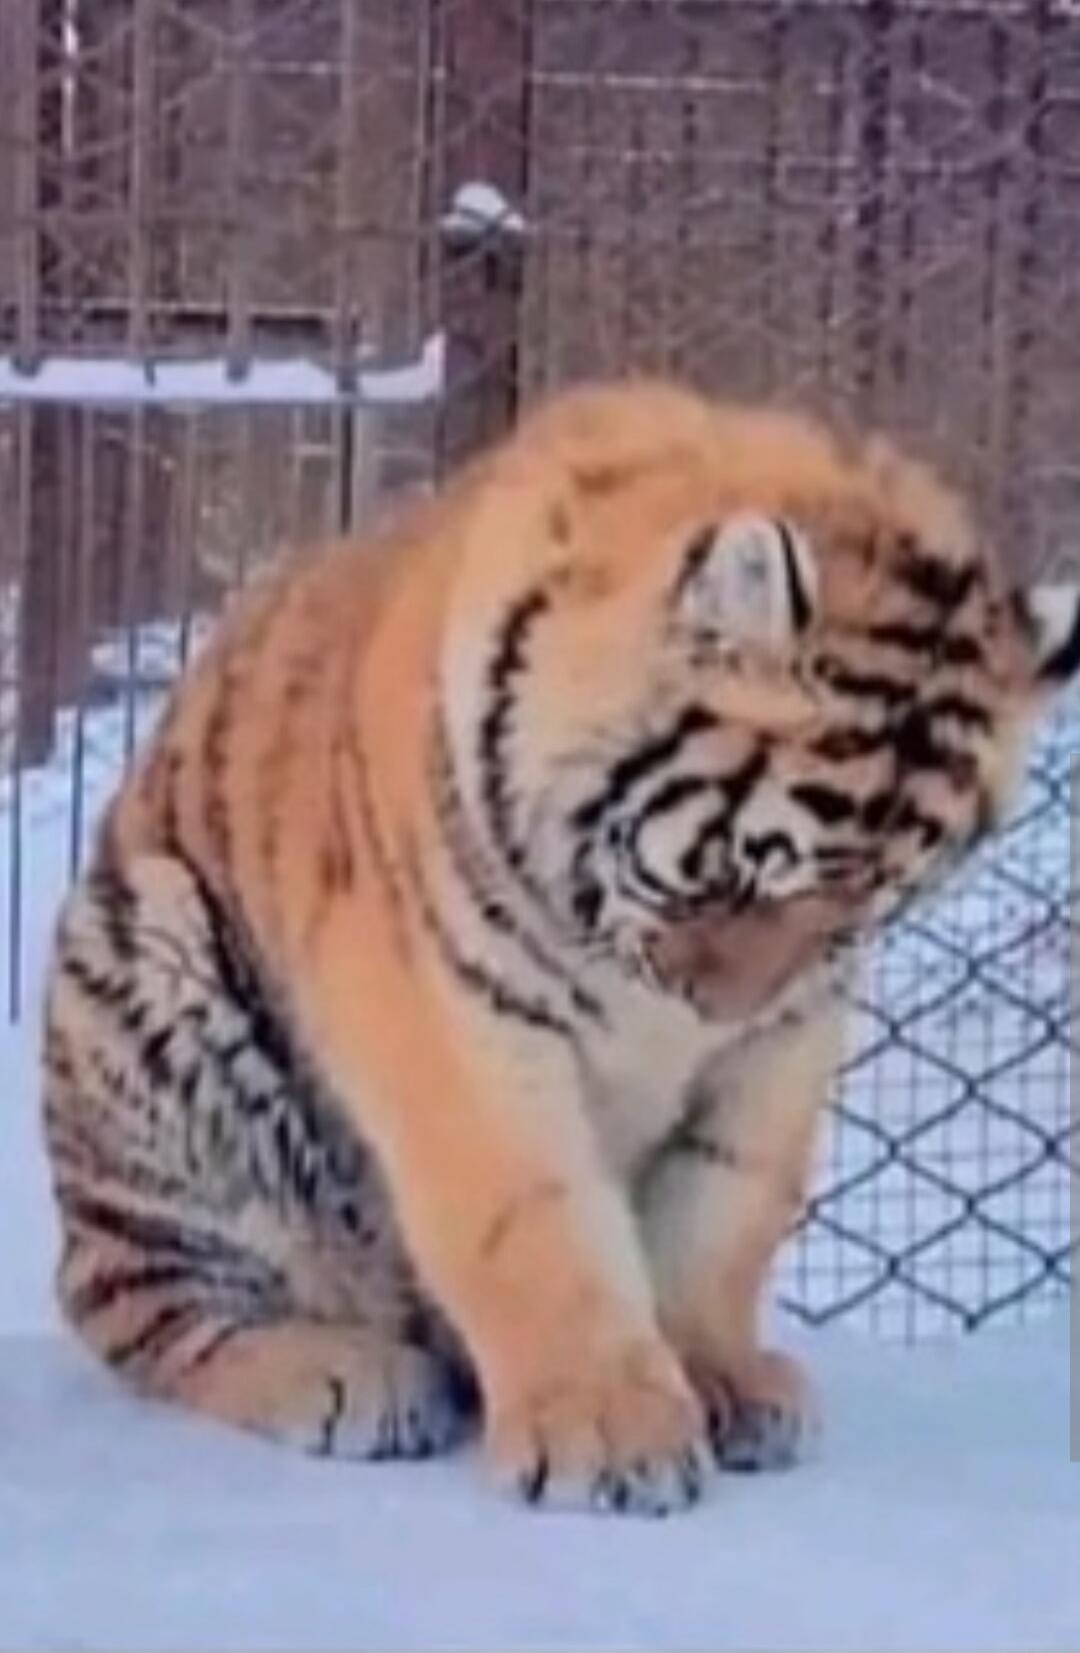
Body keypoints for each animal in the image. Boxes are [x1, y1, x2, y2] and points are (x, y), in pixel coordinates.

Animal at [41, 380, 1080, 1517]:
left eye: (856, 915)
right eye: (738, 871)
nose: (719, 1012)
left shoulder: (783, 1040)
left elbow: (724, 1206)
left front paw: (720, 1378)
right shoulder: (451, 1010)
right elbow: (530, 1218)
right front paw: (611, 1433)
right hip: (158, 970)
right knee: (142, 1302)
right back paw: (345, 1373)